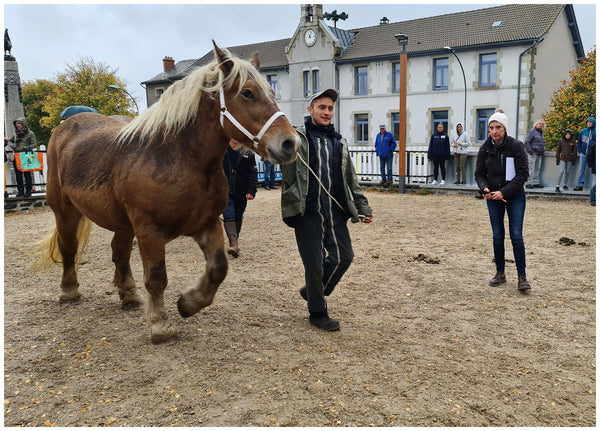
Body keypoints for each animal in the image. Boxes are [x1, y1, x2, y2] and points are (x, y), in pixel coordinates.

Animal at [36, 44, 300, 346]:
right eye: (247, 93)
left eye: (272, 93)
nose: (291, 143)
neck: (179, 158)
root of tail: (68, 126)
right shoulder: (149, 230)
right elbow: (157, 277)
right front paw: (160, 325)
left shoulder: (208, 224)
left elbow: (218, 268)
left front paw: (188, 303)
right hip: (65, 210)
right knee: (69, 248)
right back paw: (69, 291)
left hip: (122, 223)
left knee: (119, 253)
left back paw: (129, 295)